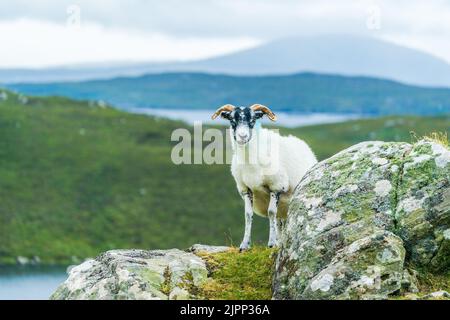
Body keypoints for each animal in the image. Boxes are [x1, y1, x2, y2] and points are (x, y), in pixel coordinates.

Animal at [211, 104, 316, 251]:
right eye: (232, 120)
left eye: (253, 120)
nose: (242, 136)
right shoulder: (246, 189)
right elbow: (248, 215)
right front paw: (244, 245)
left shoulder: (277, 186)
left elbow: (271, 212)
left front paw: (271, 243)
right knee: (279, 221)